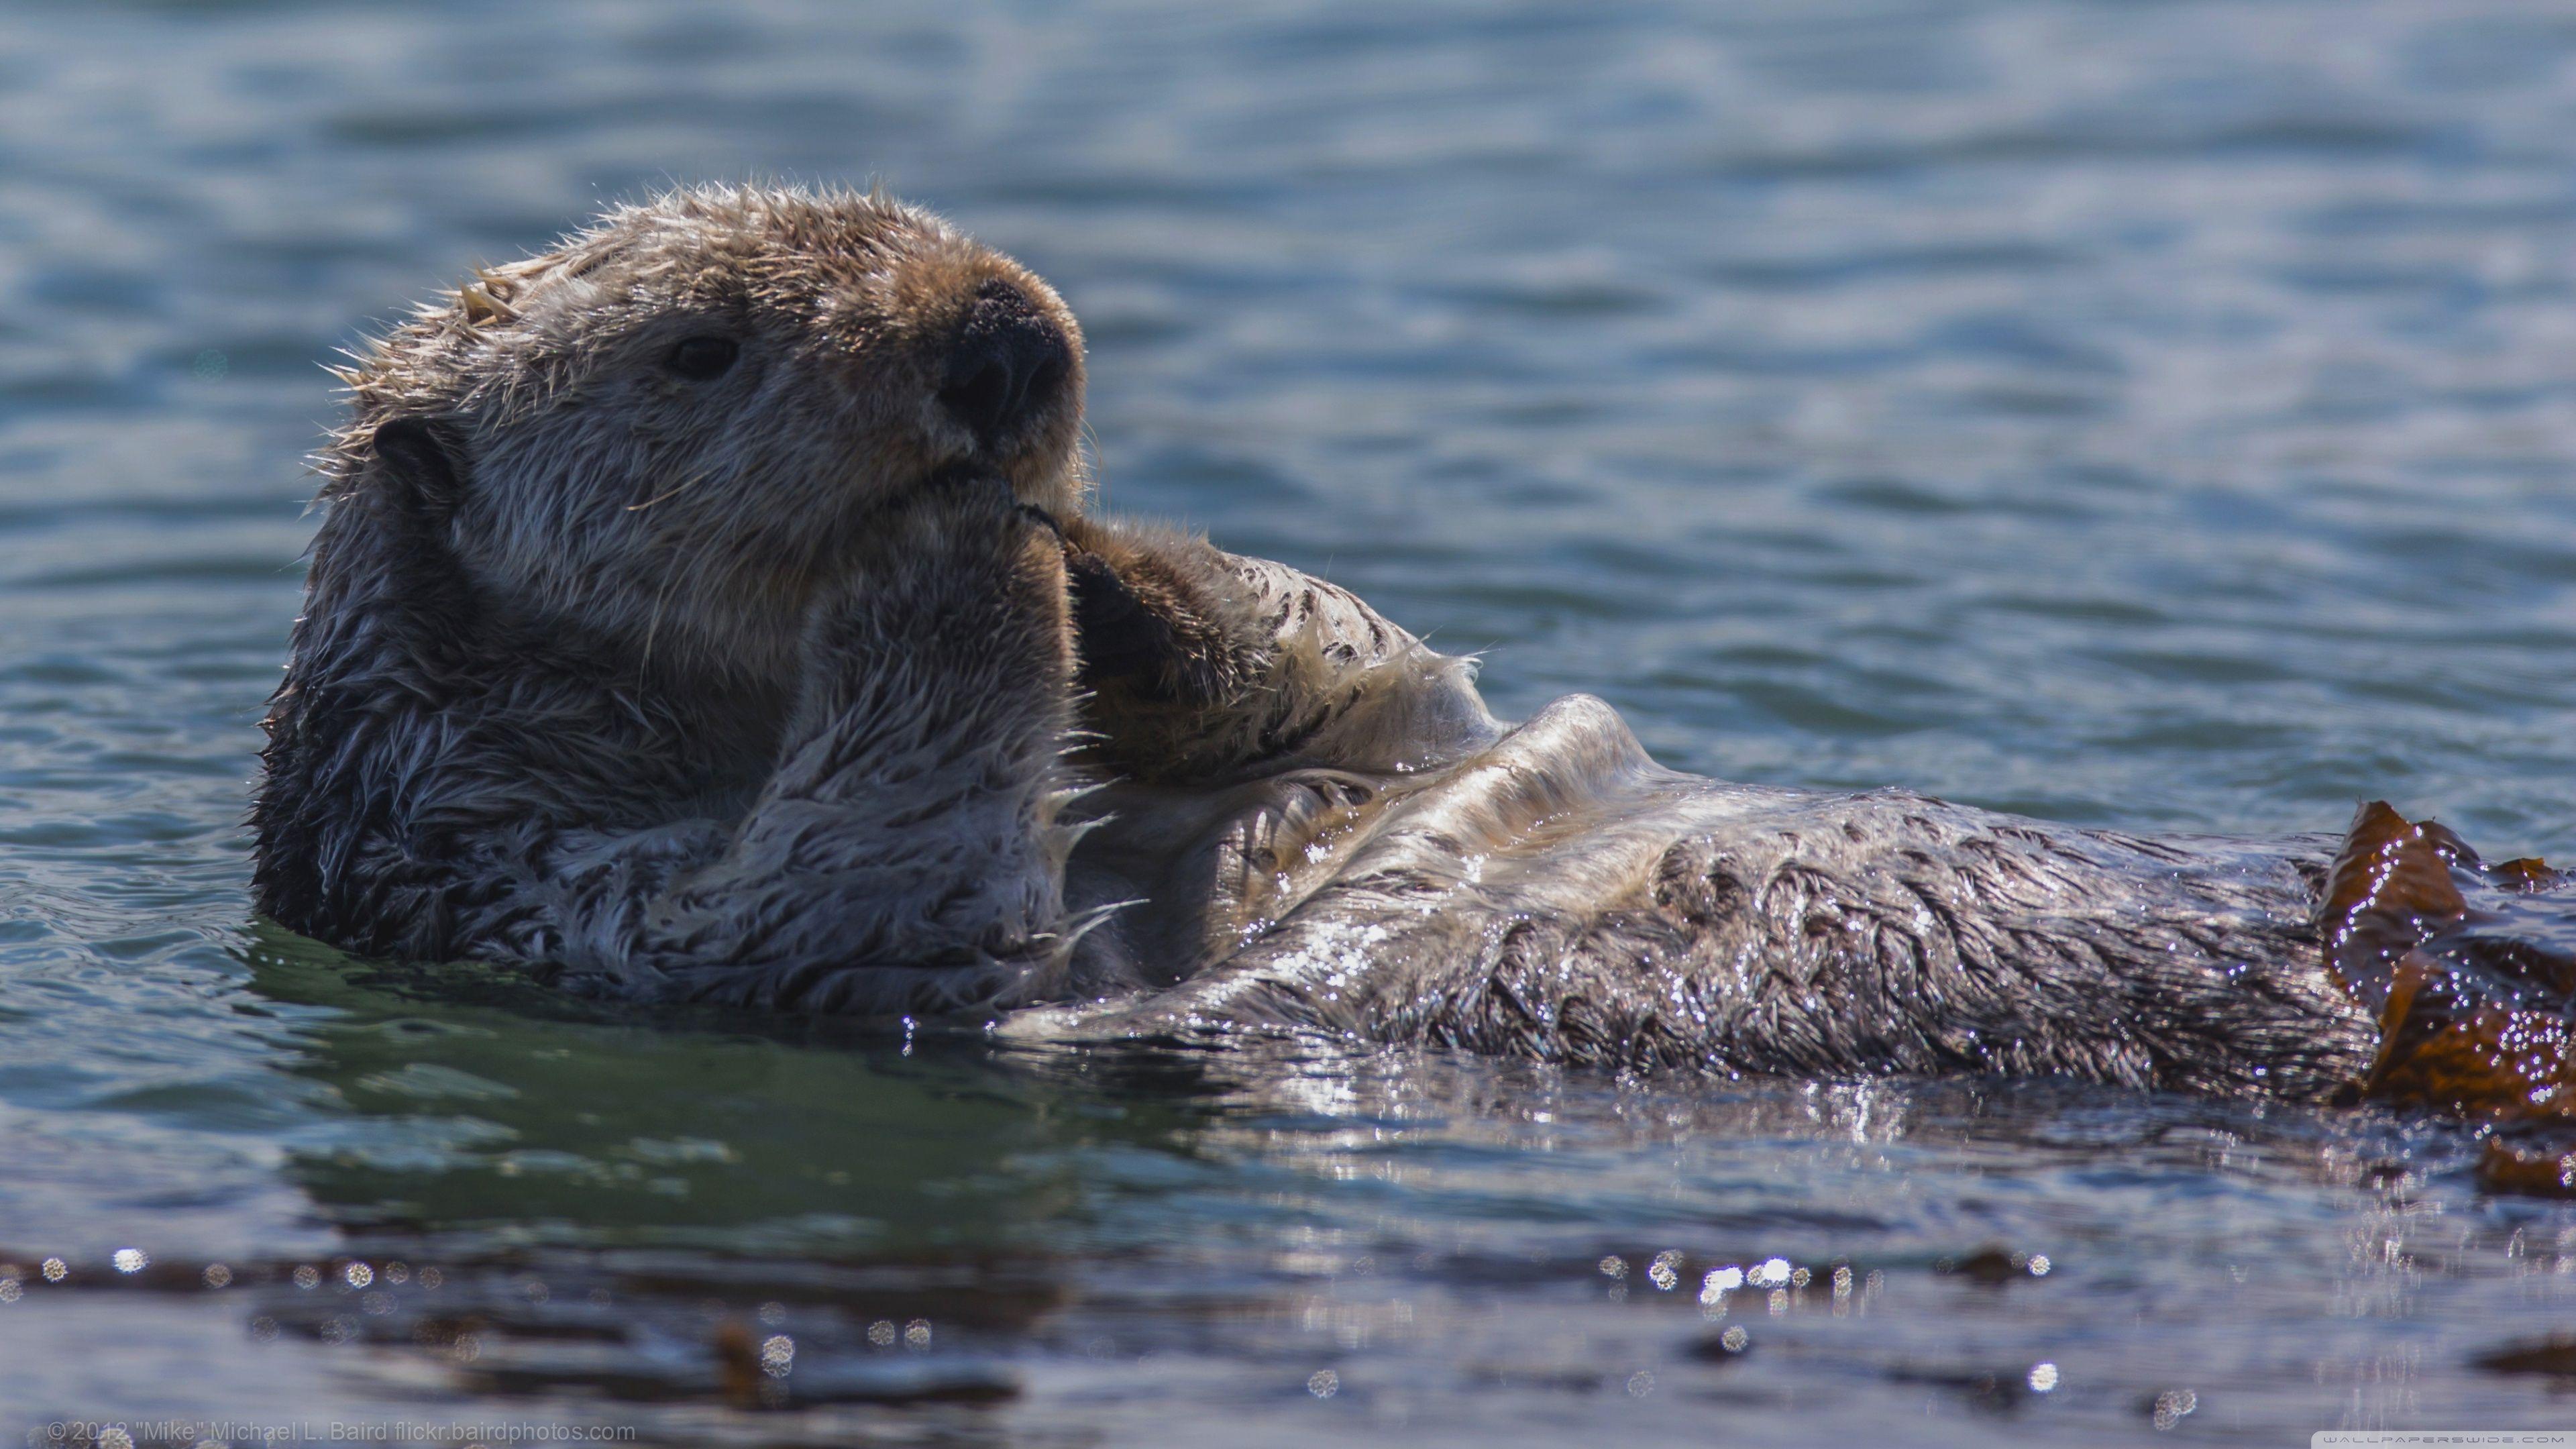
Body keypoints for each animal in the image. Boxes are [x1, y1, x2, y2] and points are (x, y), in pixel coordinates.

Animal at [254, 184, 2382, 1102]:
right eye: (700, 346)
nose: (999, 343)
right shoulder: (515, 876)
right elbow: (857, 884)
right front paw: (950, 543)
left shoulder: (1383, 721)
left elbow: (1346, 662)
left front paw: (1099, 561)